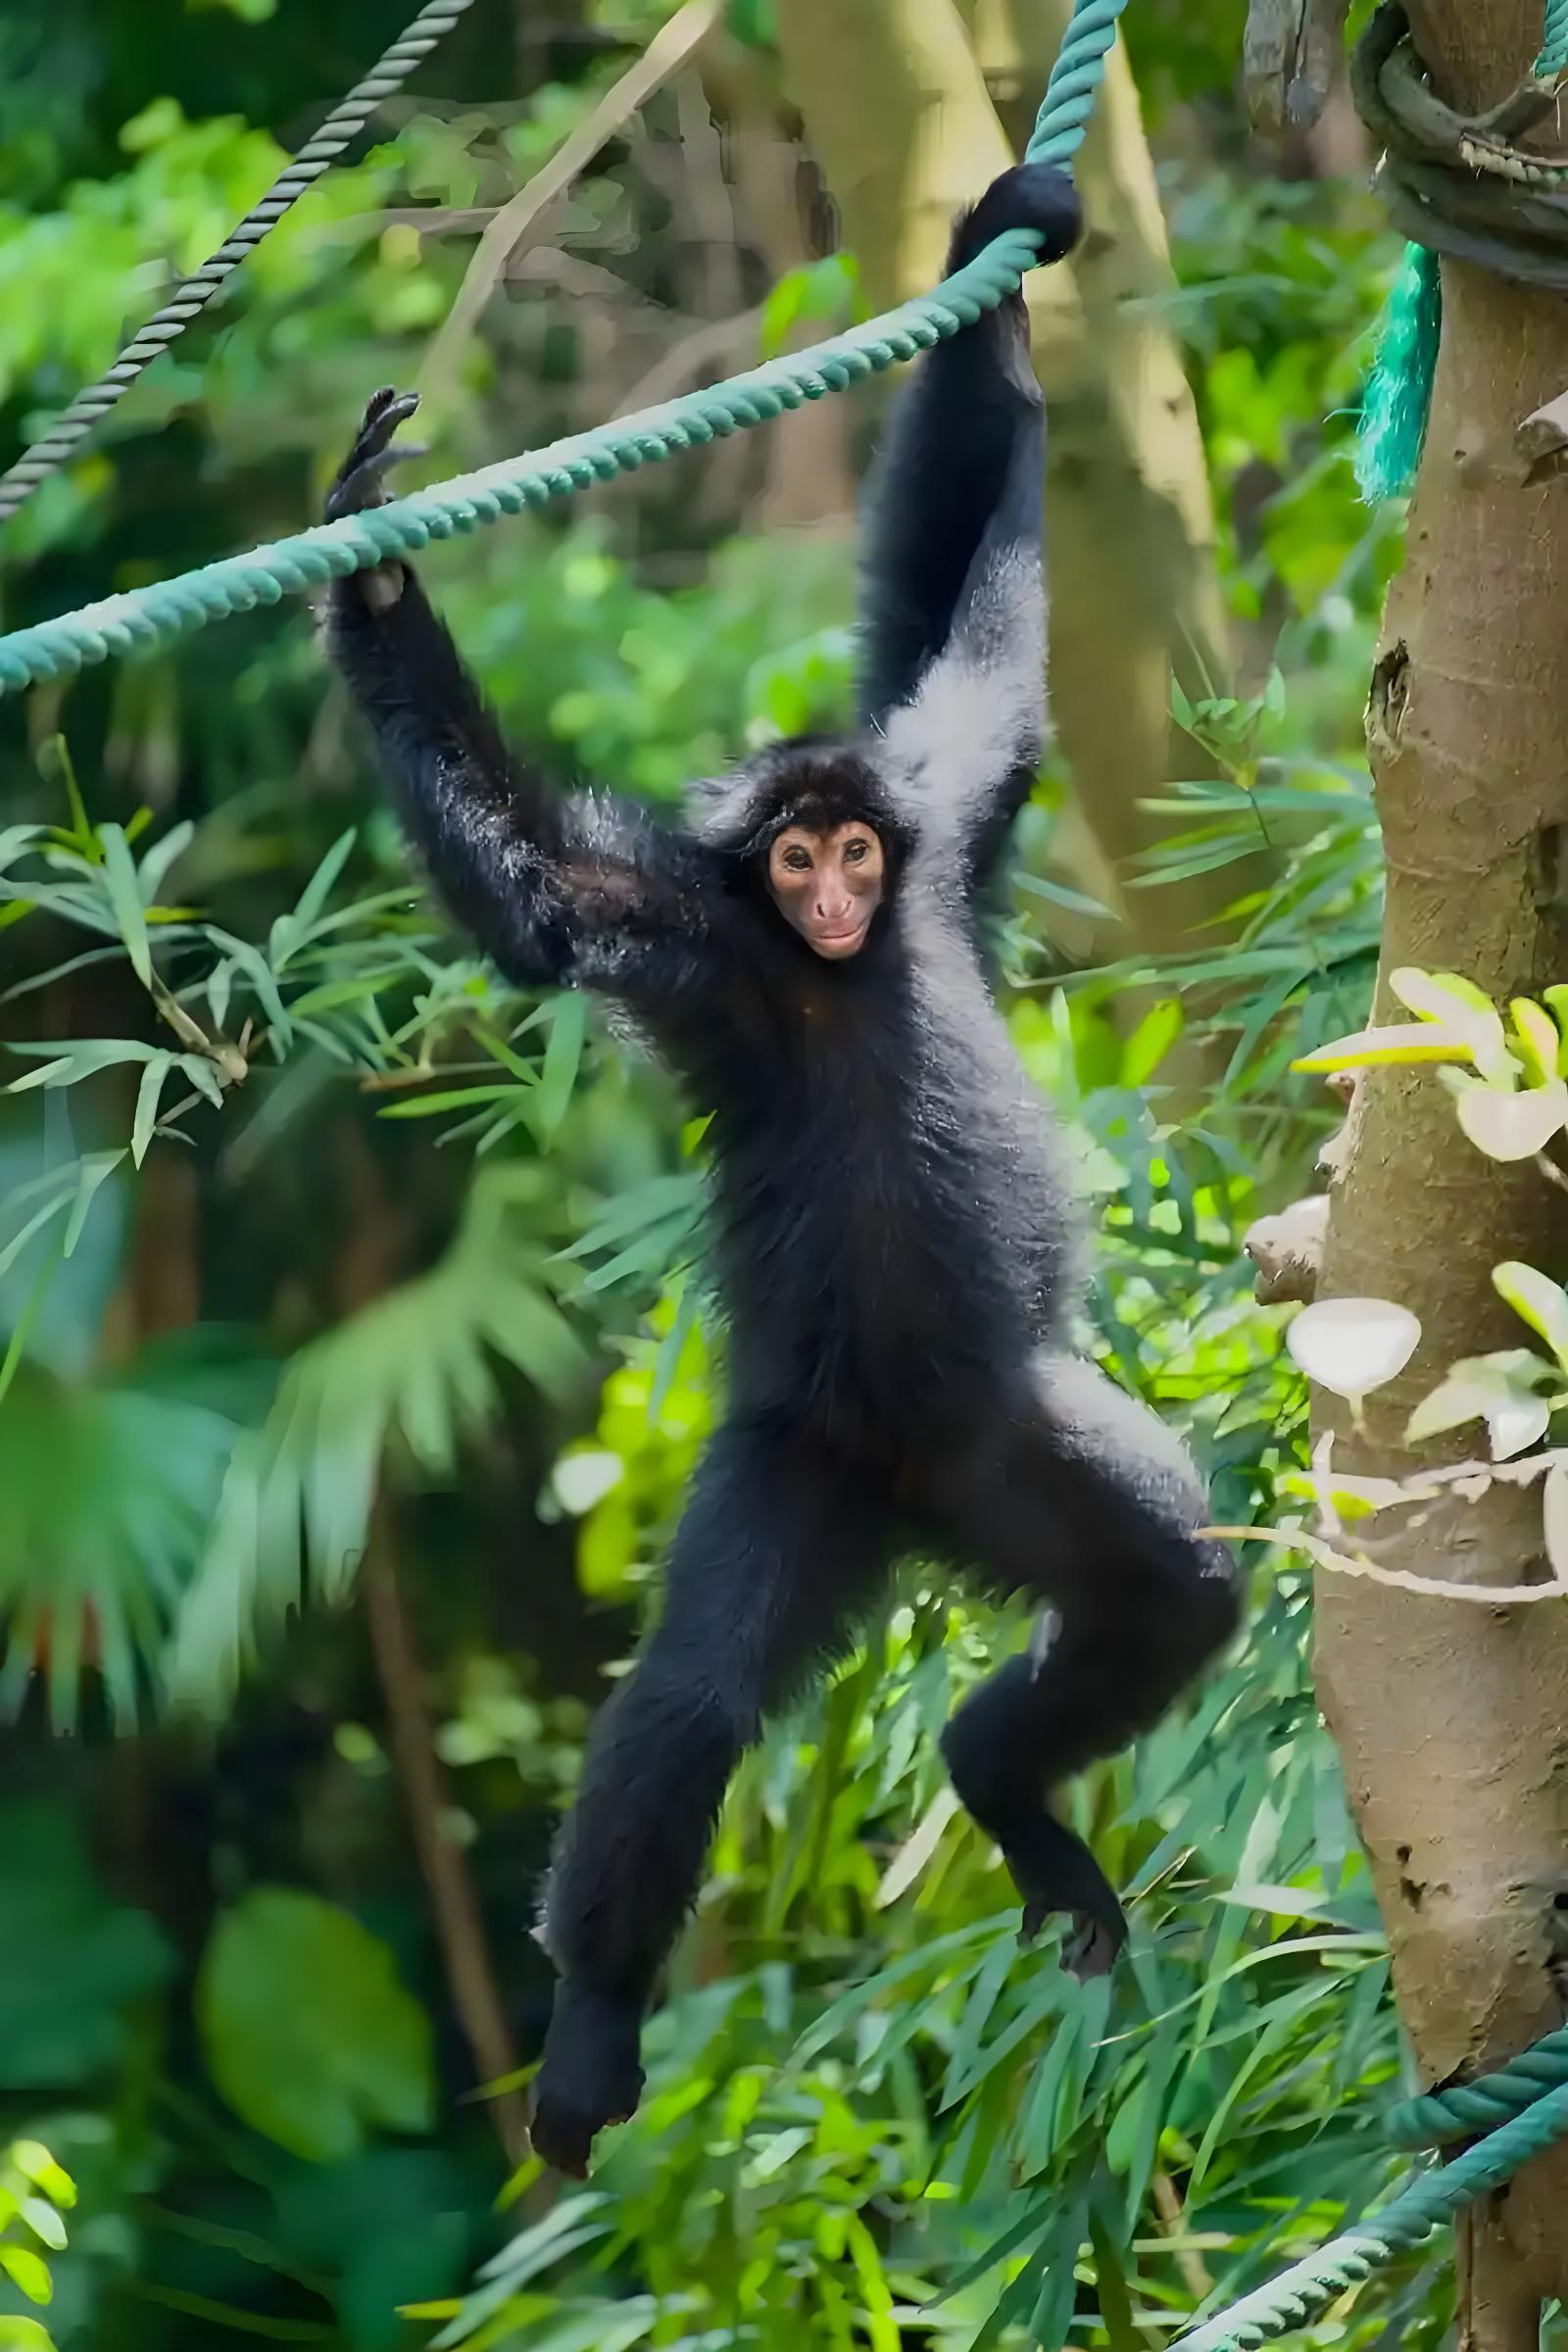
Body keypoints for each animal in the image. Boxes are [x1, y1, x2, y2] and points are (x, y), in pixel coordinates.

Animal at [324, 156, 1241, 2173]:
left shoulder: (947, 809)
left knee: (1177, 1586)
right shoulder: (687, 942)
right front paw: (371, 567)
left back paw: (994, 1778)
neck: (826, 974)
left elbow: (990, 655)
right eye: (796, 858)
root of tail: (914, 1505)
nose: (830, 887)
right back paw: (594, 2026)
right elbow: (534, 904)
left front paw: (1001, 253)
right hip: (797, 1459)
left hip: (1015, 1439)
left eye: (856, 850)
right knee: (687, 1704)